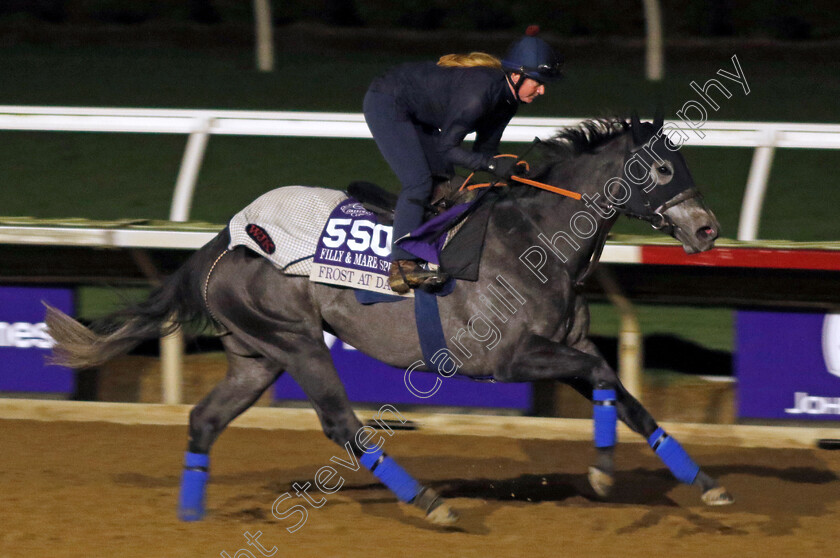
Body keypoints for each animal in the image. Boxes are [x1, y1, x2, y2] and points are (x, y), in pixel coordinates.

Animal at [46, 116, 732, 528]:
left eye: (688, 167)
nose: (706, 230)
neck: (538, 240)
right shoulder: (506, 358)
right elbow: (603, 375)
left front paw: (704, 483)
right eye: (663, 170)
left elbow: (624, 395)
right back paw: (430, 503)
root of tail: (224, 241)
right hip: (298, 342)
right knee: (342, 424)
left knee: (204, 419)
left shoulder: (563, 345)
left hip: (257, 355)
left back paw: (191, 516)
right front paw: (602, 472)